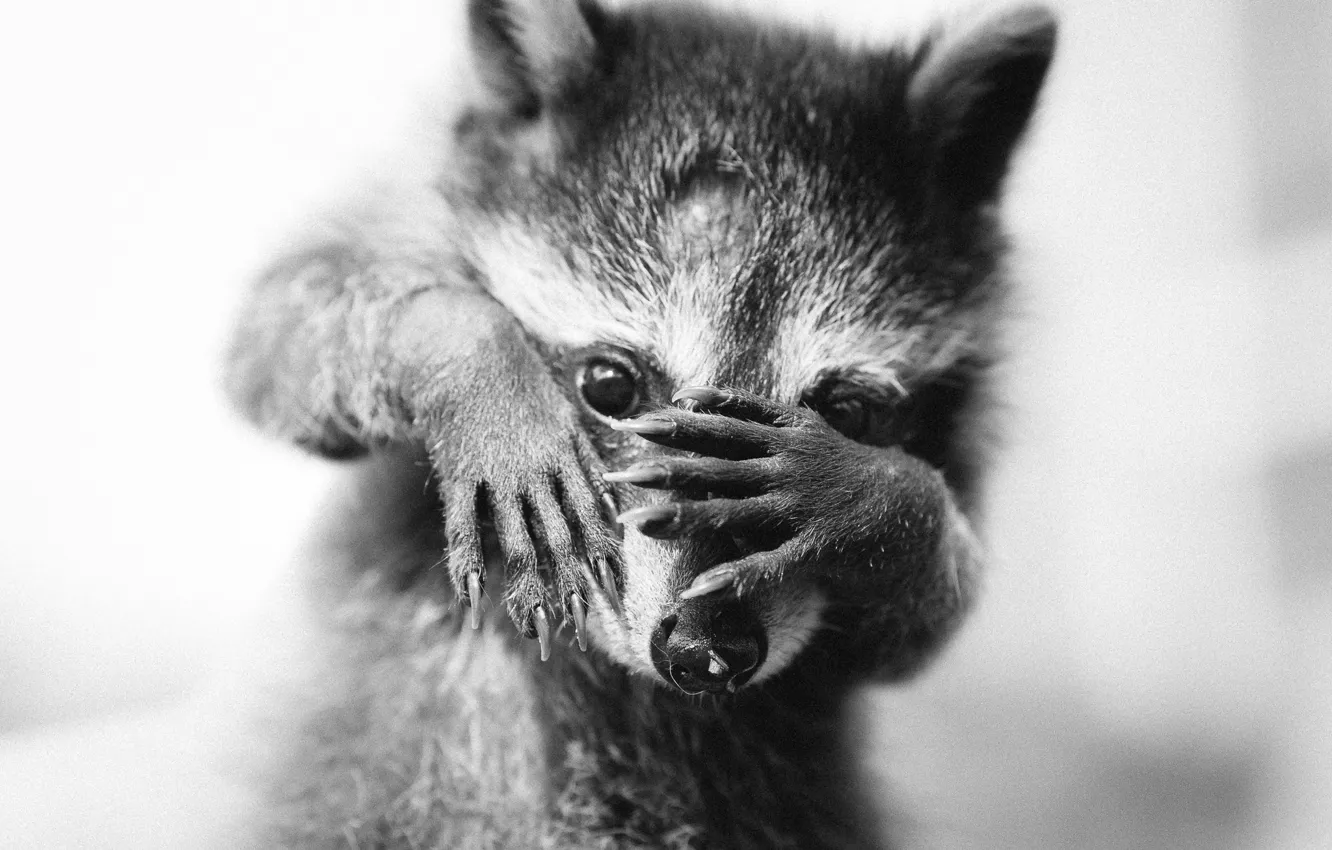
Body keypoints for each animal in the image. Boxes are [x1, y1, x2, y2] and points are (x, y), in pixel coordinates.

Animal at [225, 0, 1055, 847]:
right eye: (611, 387)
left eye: (847, 413)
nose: (705, 652)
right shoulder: (409, 218)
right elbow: (279, 333)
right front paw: (478, 369)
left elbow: (926, 616)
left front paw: (870, 496)